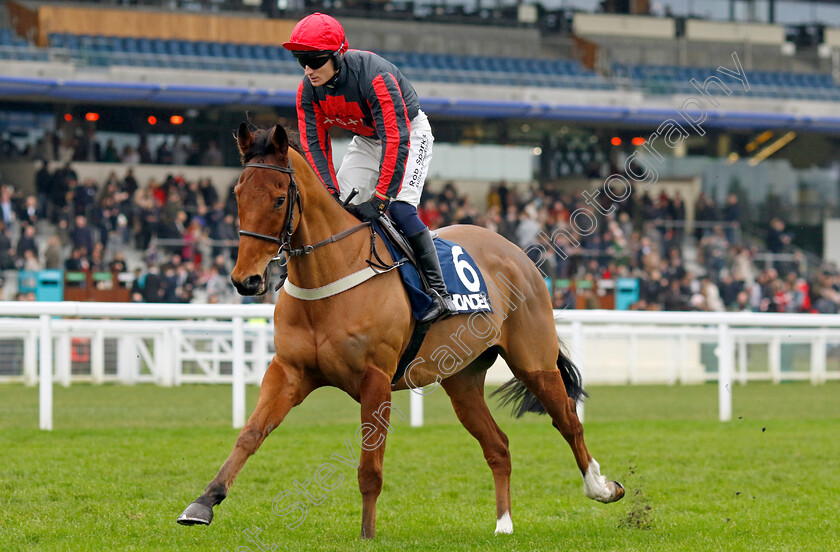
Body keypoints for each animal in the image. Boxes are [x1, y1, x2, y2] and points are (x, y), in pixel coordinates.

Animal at [177, 123, 624, 536]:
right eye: (237, 195)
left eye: (278, 198)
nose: (245, 280)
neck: (331, 274)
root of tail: (517, 253)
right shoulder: (288, 370)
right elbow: (250, 434)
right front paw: (203, 503)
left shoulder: (375, 378)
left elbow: (369, 467)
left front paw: (367, 534)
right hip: (462, 379)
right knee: (498, 445)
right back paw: (504, 524)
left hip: (534, 361)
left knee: (568, 420)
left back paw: (601, 488)